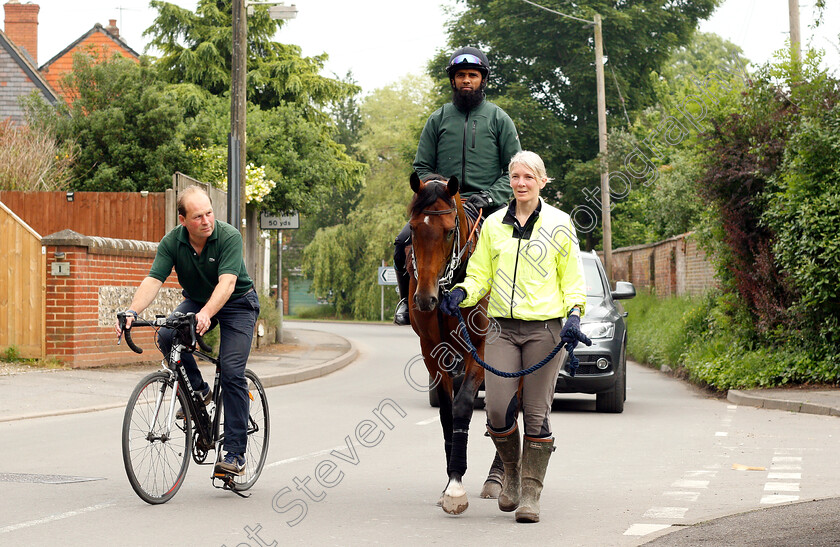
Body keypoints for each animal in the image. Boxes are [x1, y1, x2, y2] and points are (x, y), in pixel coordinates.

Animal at [406, 173, 496, 516]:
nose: (425, 299)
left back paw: (499, 478)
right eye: (413, 228)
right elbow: (446, 411)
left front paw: (457, 485)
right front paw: (449, 483)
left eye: (447, 232)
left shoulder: (481, 349)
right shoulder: (432, 352)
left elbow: (463, 405)